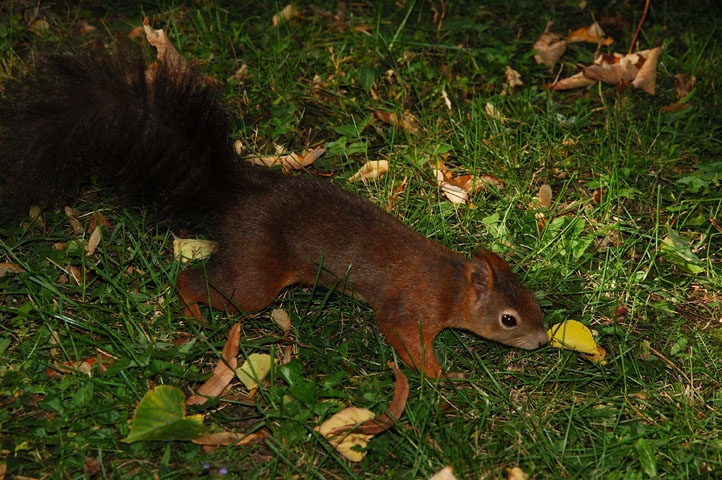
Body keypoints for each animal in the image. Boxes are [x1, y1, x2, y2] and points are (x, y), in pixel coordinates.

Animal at [0, 43, 544, 378]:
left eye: (535, 304)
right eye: (509, 319)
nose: (541, 342)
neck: (451, 284)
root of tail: (242, 196)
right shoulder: (404, 307)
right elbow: (402, 335)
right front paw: (433, 375)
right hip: (254, 281)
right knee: (196, 281)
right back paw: (192, 312)